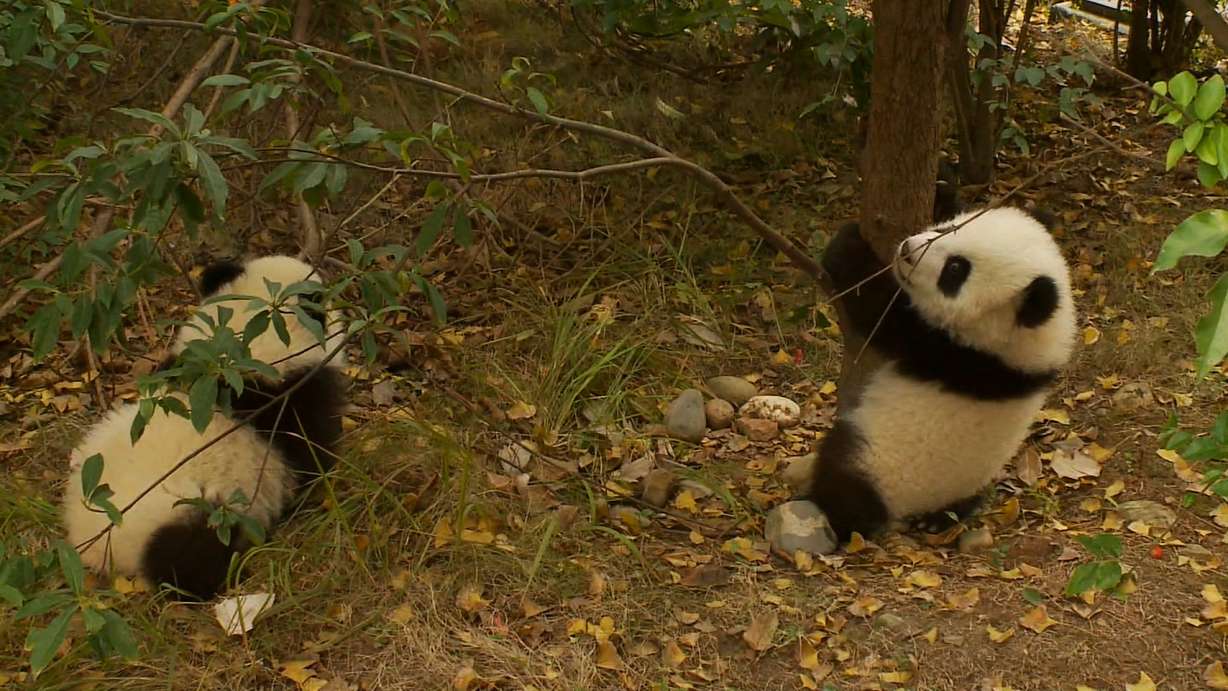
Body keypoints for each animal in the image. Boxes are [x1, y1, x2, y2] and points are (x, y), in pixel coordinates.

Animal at [805, 206, 1076, 543]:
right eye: (947, 228)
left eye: (955, 270)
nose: (907, 250)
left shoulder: (950, 350)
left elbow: (878, 310)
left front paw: (848, 243)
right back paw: (941, 520)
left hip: (876, 462)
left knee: (844, 484)